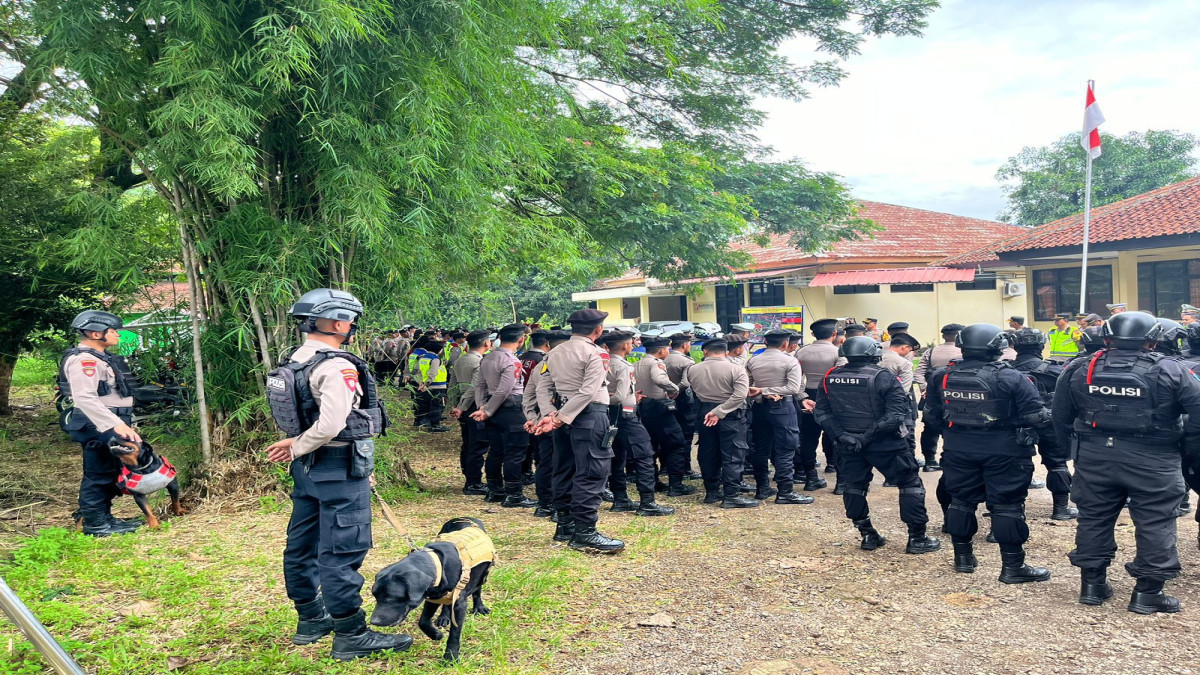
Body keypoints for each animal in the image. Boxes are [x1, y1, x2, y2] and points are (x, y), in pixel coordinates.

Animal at [367, 514, 494, 658]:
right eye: (375, 595)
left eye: (392, 597)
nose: (373, 622)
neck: (438, 563)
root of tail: (465, 517)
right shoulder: (433, 596)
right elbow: (423, 621)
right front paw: (435, 635)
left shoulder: (459, 604)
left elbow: (455, 633)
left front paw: (450, 656)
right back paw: (444, 617)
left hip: (482, 575)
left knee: (477, 590)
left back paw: (479, 607)